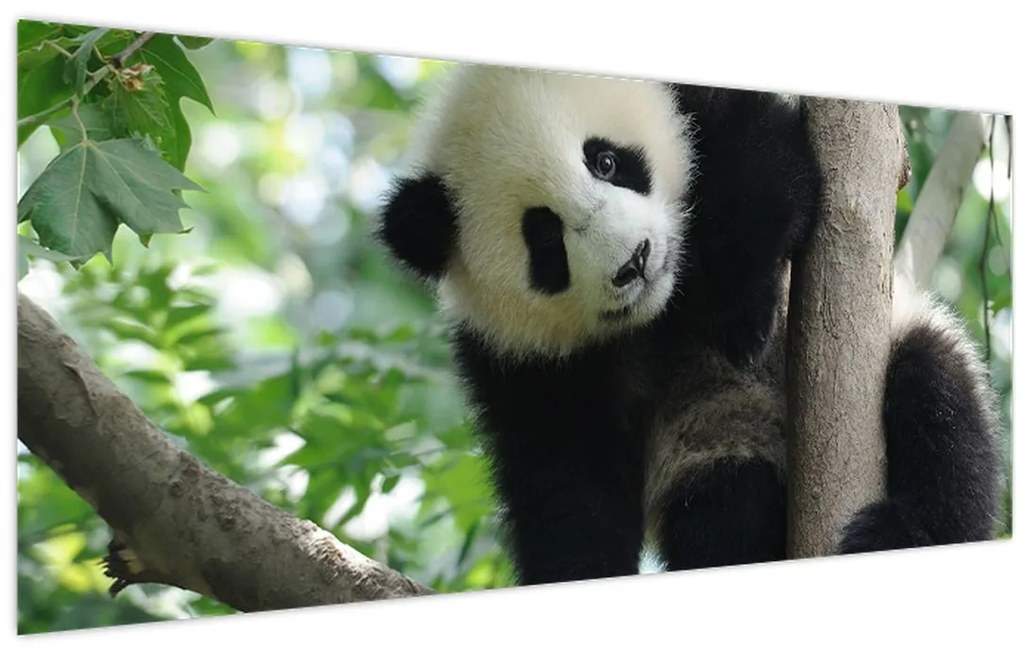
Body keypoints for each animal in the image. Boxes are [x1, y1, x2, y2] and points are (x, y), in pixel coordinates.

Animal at [377, 64, 1002, 585]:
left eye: (606, 161)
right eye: (545, 239)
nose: (635, 261)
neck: (666, 307)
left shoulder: (703, 109)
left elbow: (766, 163)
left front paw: (741, 313)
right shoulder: (523, 361)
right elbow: (569, 482)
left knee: (937, 409)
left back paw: (903, 532)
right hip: (715, 445)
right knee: (725, 512)